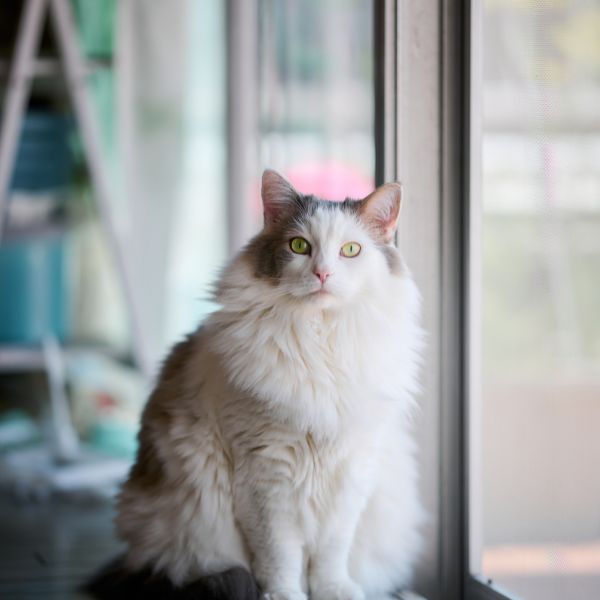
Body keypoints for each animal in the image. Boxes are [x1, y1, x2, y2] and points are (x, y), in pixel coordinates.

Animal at [98, 170, 424, 600]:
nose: (323, 274)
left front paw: (335, 591)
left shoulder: (350, 474)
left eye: (350, 250)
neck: (321, 342)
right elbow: (281, 556)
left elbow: (331, 553)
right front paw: (285, 596)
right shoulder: (266, 476)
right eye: (299, 246)